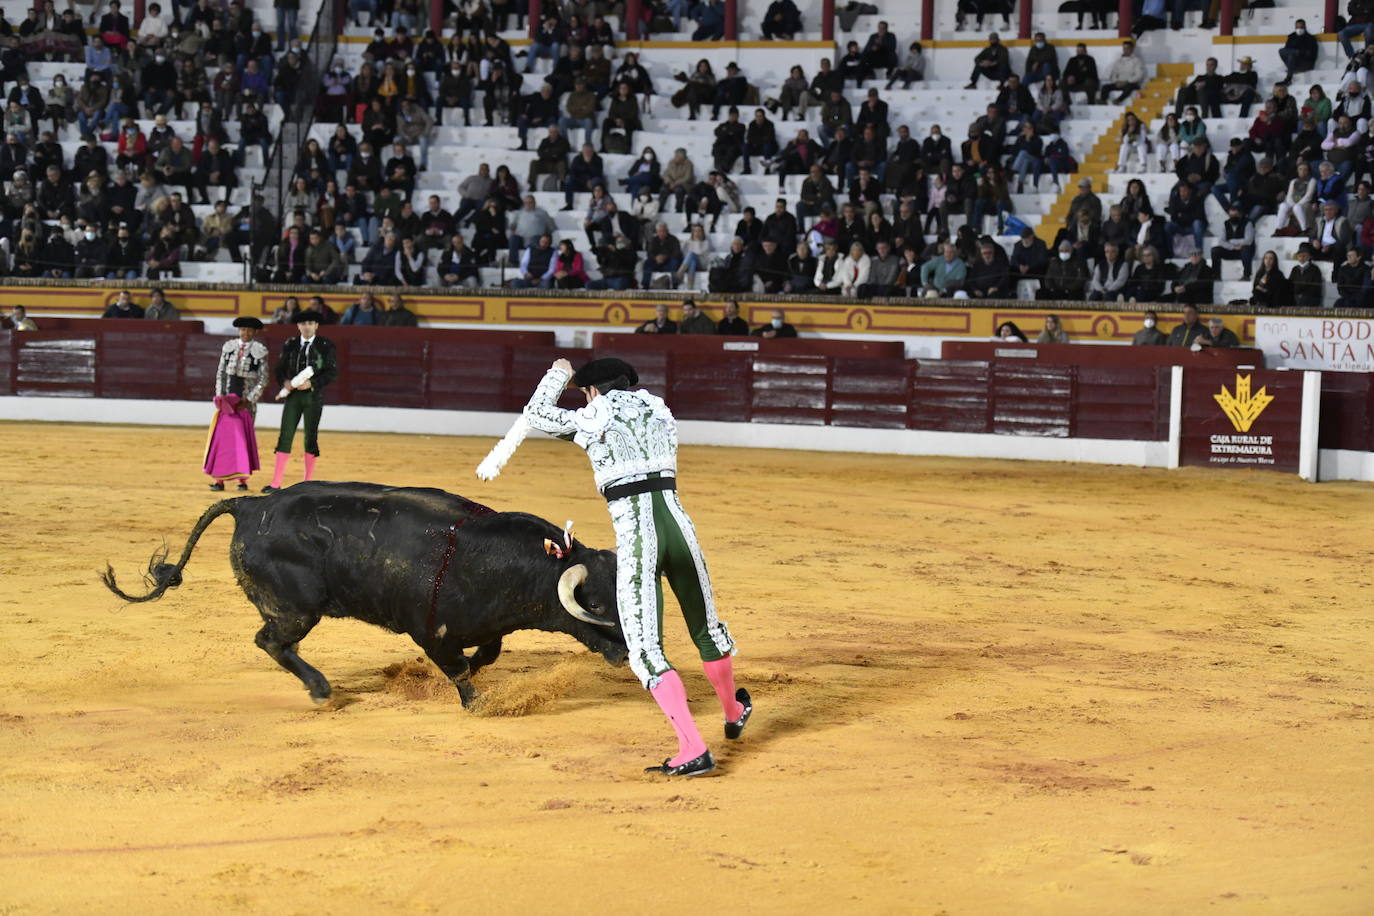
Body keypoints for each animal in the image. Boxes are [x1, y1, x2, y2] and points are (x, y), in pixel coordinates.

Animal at [101, 483, 629, 708]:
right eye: (597, 607)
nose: (628, 654)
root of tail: (251, 504)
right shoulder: (431, 632)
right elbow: (459, 670)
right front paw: (477, 702)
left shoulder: (483, 624)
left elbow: (487, 654)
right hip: (296, 608)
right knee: (271, 641)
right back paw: (321, 691)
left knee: (277, 643)